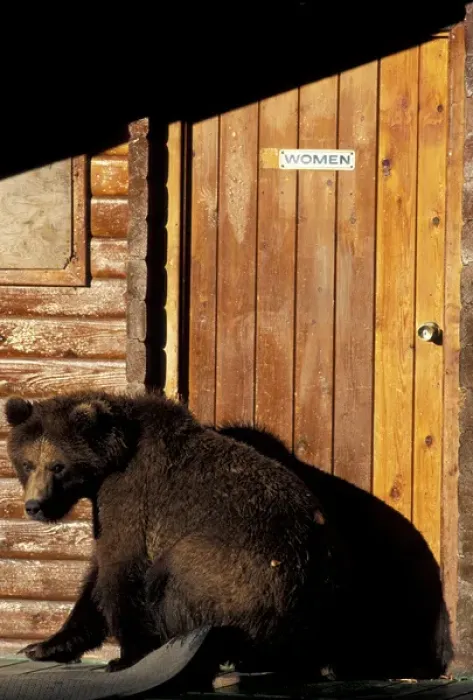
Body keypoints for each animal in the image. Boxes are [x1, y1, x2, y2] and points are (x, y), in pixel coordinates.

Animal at [5, 391, 341, 679]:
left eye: (57, 466)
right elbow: (94, 580)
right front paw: (42, 646)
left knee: (174, 578)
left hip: (238, 569)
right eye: (27, 463)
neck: (109, 462)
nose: (35, 506)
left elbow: (120, 569)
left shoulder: (128, 495)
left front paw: (127, 656)